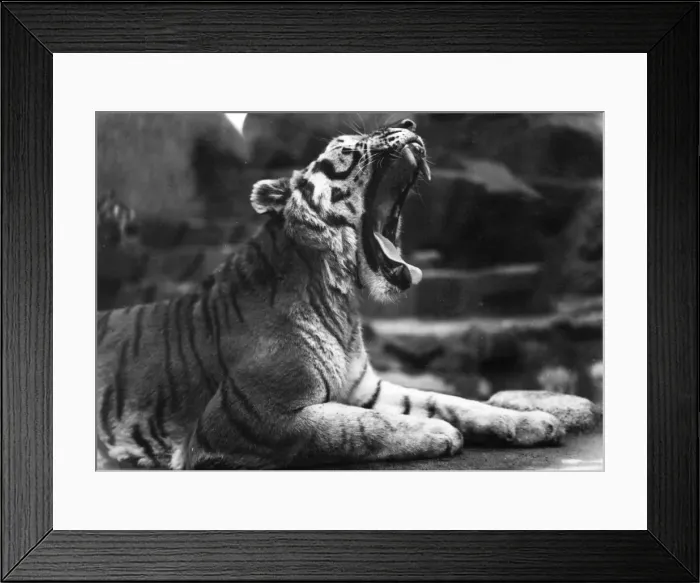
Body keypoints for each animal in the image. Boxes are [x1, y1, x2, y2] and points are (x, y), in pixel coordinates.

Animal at [96, 118, 564, 470]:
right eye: (348, 145)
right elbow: (356, 426)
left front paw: (535, 420)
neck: (339, 301)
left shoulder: (364, 388)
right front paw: (437, 432)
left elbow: (448, 400)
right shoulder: (247, 416)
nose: (409, 123)